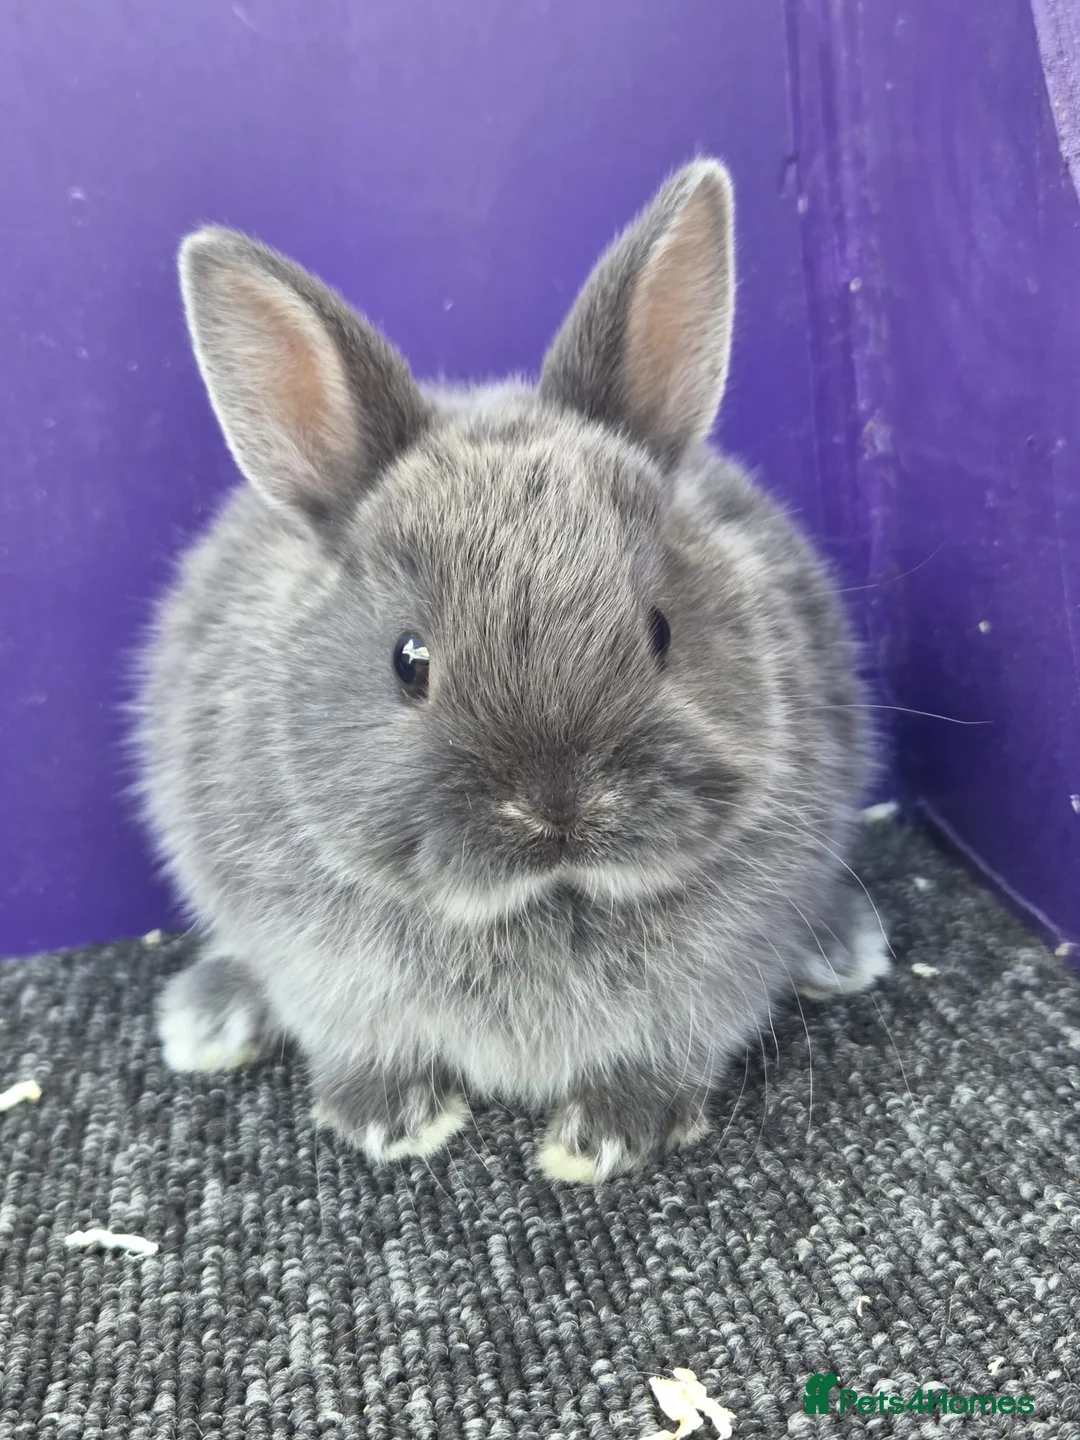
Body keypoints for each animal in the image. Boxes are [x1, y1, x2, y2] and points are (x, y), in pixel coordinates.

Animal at [136, 160, 889, 1185]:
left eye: (660, 630)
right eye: (409, 661)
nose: (558, 808)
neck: (541, 901)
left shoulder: (714, 978)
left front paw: (606, 1134)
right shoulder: (320, 969)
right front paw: (392, 1120)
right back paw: (210, 1017)